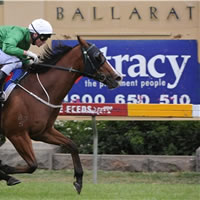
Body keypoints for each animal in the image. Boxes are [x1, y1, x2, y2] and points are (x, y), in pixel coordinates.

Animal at [0, 36, 122, 194]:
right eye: (98, 57)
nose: (117, 77)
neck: (39, 90)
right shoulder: (16, 134)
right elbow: (33, 165)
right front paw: (6, 172)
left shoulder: (43, 132)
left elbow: (72, 145)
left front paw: (79, 180)